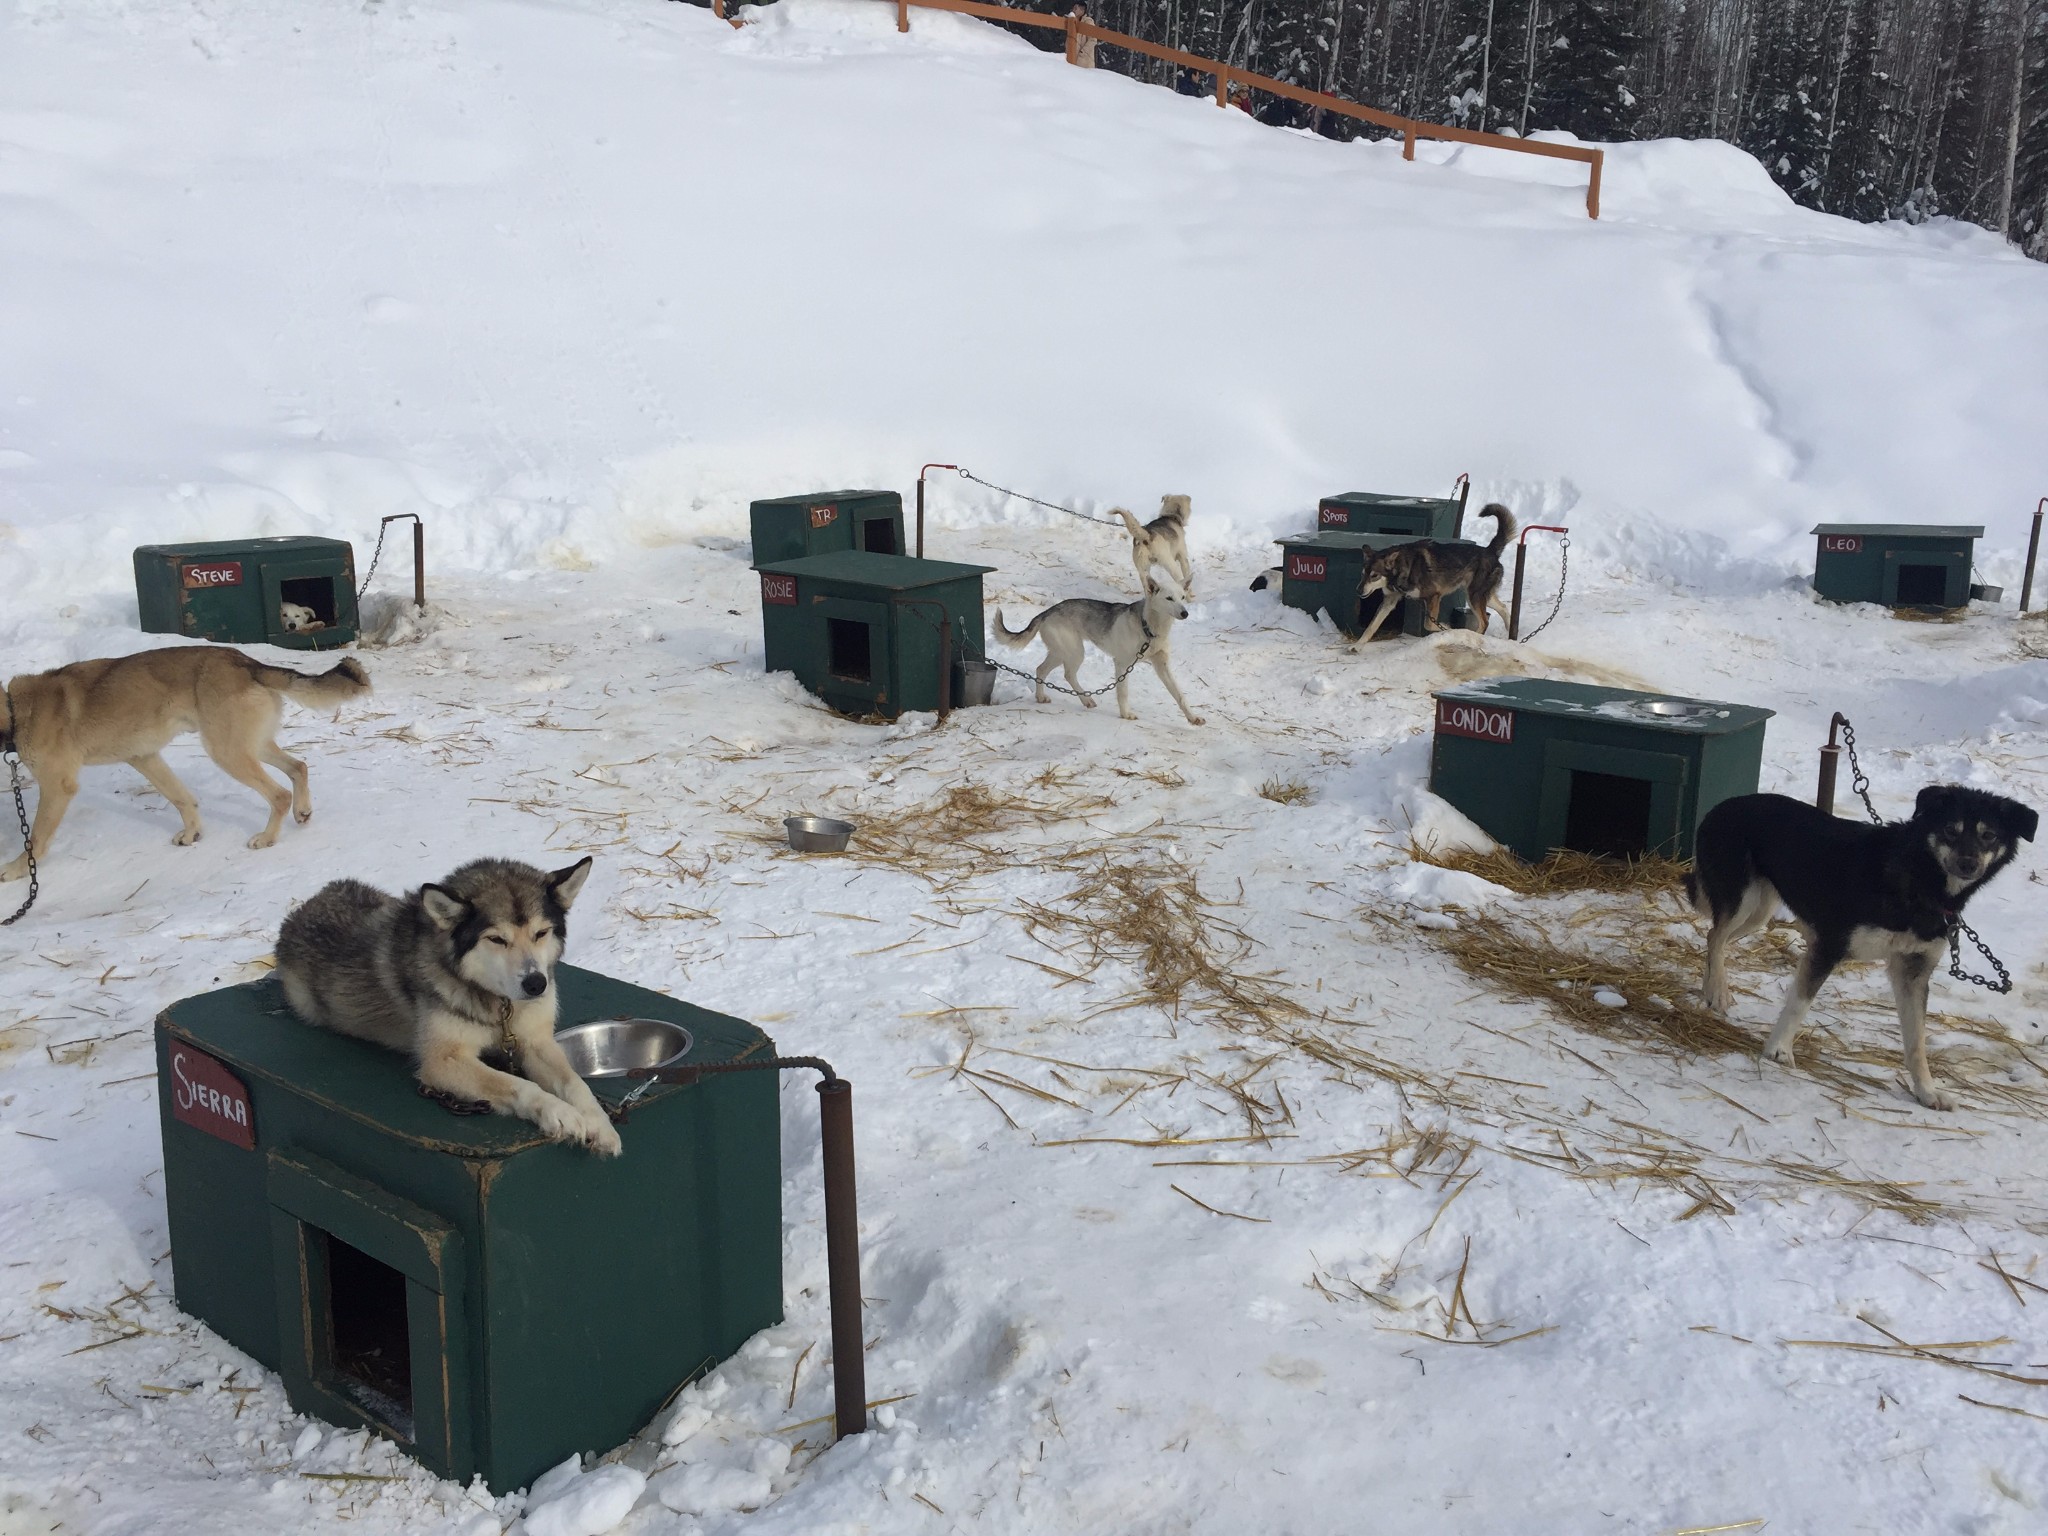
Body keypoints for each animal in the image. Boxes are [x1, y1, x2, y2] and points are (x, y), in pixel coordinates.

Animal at [2, 647, 368, 884]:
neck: (14, 709)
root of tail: (245, 662)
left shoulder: (57, 786)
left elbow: (35, 838)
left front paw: (18, 870)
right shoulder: (144, 757)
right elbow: (182, 798)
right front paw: (192, 832)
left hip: (228, 752)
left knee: (278, 794)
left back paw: (266, 838)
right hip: (251, 746)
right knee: (298, 767)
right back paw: (302, 811)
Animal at [276, 868, 618, 1155]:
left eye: (541, 933)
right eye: (497, 939)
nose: (536, 983)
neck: (500, 1006)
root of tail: (307, 906)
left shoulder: (536, 1042)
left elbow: (574, 1082)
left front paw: (599, 1124)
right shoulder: (442, 1062)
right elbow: (518, 1084)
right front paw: (559, 1112)